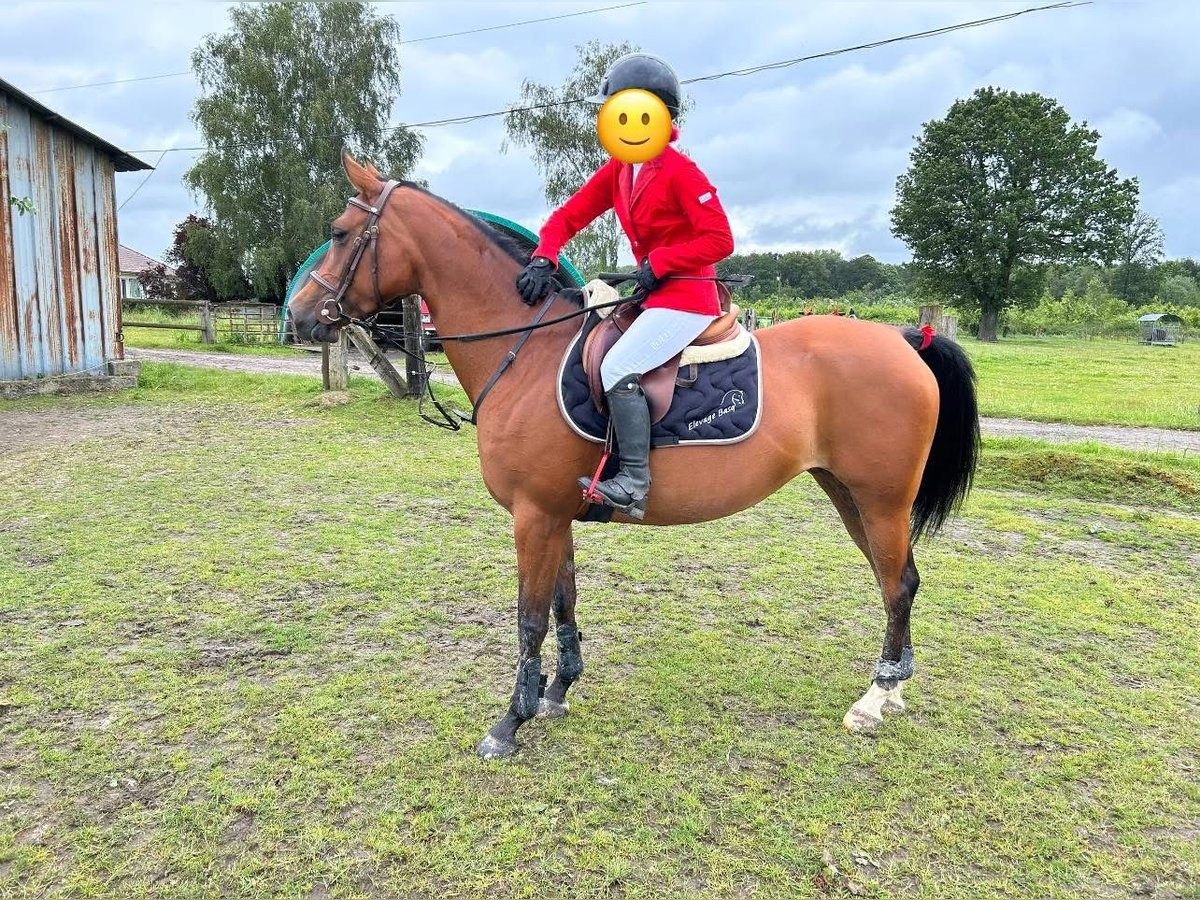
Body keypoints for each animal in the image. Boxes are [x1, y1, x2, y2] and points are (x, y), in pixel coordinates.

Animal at [285, 153, 979, 763]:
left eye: (340, 233)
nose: (298, 317)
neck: (525, 351)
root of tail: (905, 340)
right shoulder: (554, 514)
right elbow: (563, 603)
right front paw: (556, 693)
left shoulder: (533, 515)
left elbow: (529, 618)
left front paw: (510, 723)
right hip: (849, 495)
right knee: (899, 581)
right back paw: (893, 686)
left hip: (880, 500)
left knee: (897, 584)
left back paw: (875, 698)